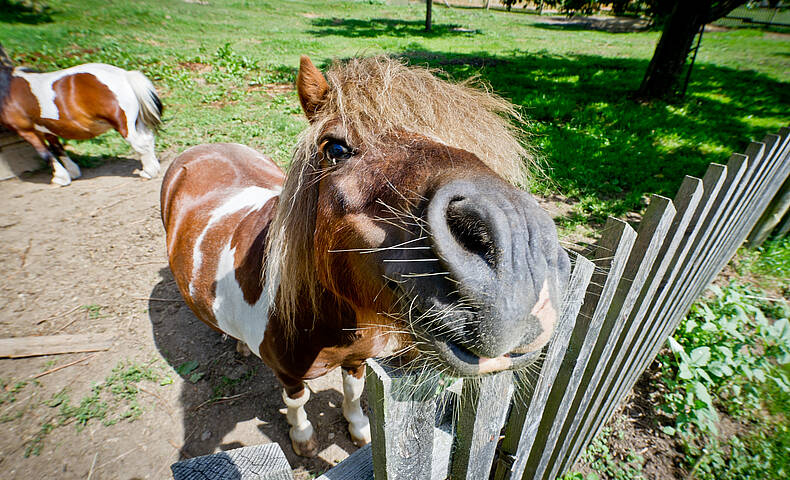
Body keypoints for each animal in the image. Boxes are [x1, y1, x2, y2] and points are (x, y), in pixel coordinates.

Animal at [0, 46, 162, 186]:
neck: (7, 89)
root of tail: (124, 75)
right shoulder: (47, 127)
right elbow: (58, 148)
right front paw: (72, 172)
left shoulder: (26, 130)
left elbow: (45, 153)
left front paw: (60, 177)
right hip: (136, 122)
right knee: (148, 139)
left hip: (123, 124)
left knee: (140, 143)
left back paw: (149, 172)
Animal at [161, 54, 572, 456]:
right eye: (335, 148)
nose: (520, 252)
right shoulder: (289, 376)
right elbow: (297, 402)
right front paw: (302, 437)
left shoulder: (358, 360)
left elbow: (354, 391)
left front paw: (358, 428)